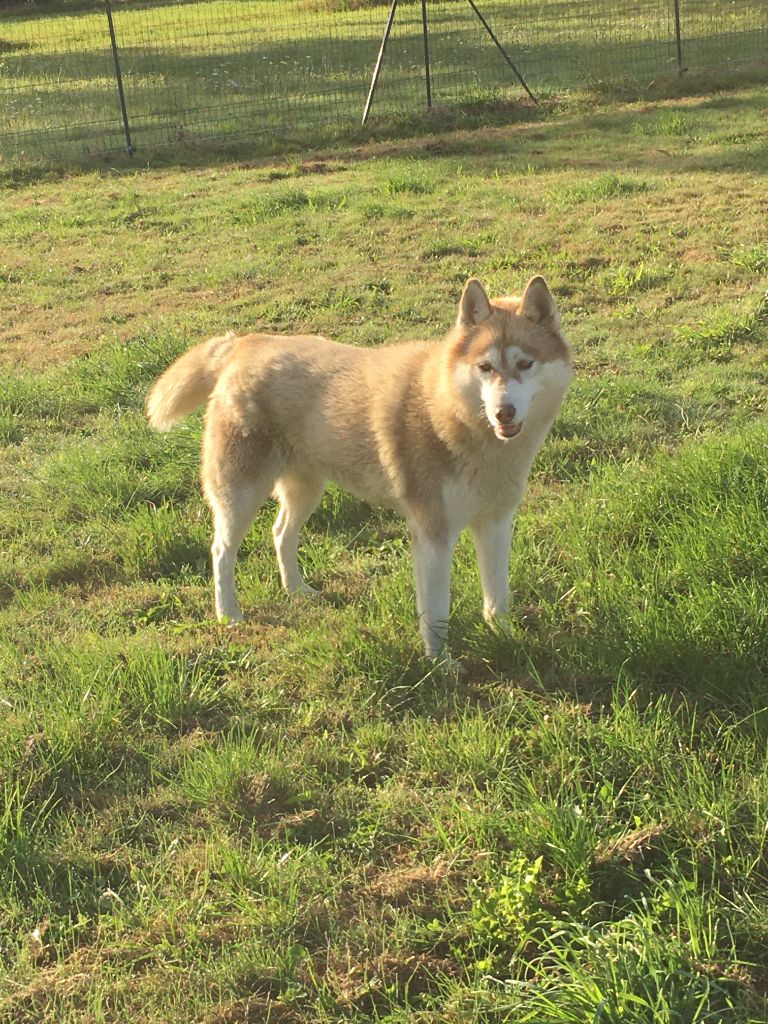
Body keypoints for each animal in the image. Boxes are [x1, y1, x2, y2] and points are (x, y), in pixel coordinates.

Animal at [148, 276, 573, 655]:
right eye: (485, 367)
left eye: (525, 363)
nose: (504, 412)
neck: (454, 417)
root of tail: (245, 343)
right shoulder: (433, 533)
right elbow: (436, 613)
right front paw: (441, 664)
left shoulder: (496, 523)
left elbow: (497, 596)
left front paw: (506, 640)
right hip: (240, 492)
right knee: (222, 550)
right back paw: (229, 614)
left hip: (306, 489)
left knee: (281, 532)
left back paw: (297, 590)